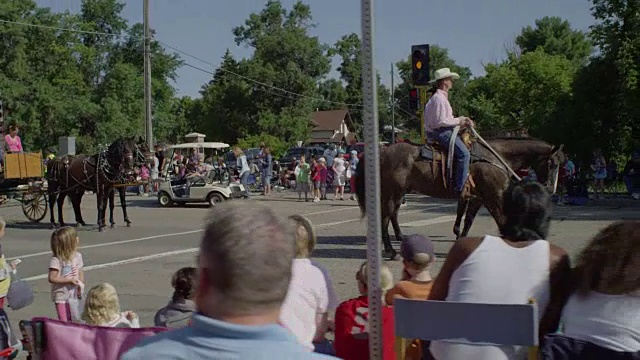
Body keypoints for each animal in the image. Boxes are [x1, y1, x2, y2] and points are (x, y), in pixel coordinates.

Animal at [356, 135, 564, 258]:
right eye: (553, 164)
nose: (551, 189)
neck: (495, 157)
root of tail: (382, 151)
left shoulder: (478, 198)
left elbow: (468, 220)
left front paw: (461, 241)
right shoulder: (493, 196)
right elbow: (501, 220)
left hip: (399, 192)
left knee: (392, 215)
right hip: (392, 192)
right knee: (385, 217)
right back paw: (391, 250)